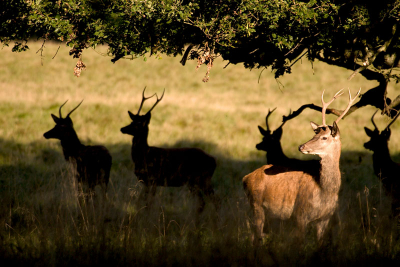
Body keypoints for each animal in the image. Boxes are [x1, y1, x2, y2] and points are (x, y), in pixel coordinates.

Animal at [242, 88, 360, 247]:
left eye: (324, 137)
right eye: (314, 134)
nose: (301, 146)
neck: (325, 191)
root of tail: (246, 178)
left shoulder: (324, 218)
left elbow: (320, 243)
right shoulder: (300, 214)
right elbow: (300, 244)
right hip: (256, 205)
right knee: (256, 236)